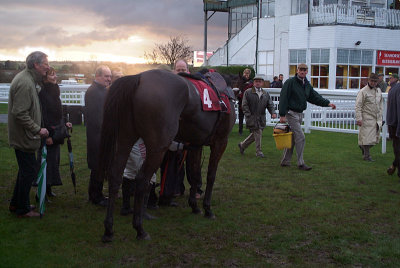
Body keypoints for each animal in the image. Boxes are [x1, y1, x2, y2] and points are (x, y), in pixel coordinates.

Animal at [97, 68, 234, 241]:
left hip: (124, 140)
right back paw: (139, 228)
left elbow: (195, 175)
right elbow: (211, 175)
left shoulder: (195, 144)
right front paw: (208, 209)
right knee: (142, 180)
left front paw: (195, 207)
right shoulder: (221, 142)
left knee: (115, 175)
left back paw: (108, 230)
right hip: (157, 149)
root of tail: (138, 78)